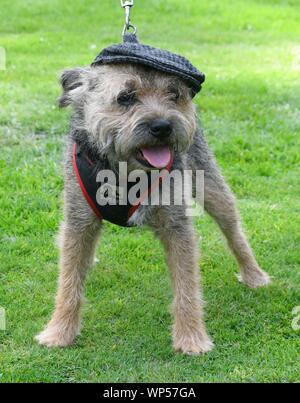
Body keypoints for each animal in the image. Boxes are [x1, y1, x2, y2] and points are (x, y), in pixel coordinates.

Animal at [35, 62, 272, 354]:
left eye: (174, 94)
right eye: (125, 97)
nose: (163, 126)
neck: (127, 174)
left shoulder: (177, 226)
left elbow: (187, 286)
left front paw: (191, 338)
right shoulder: (78, 221)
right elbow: (68, 281)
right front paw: (59, 331)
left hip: (212, 187)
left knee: (234, 231)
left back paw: (254, 275)